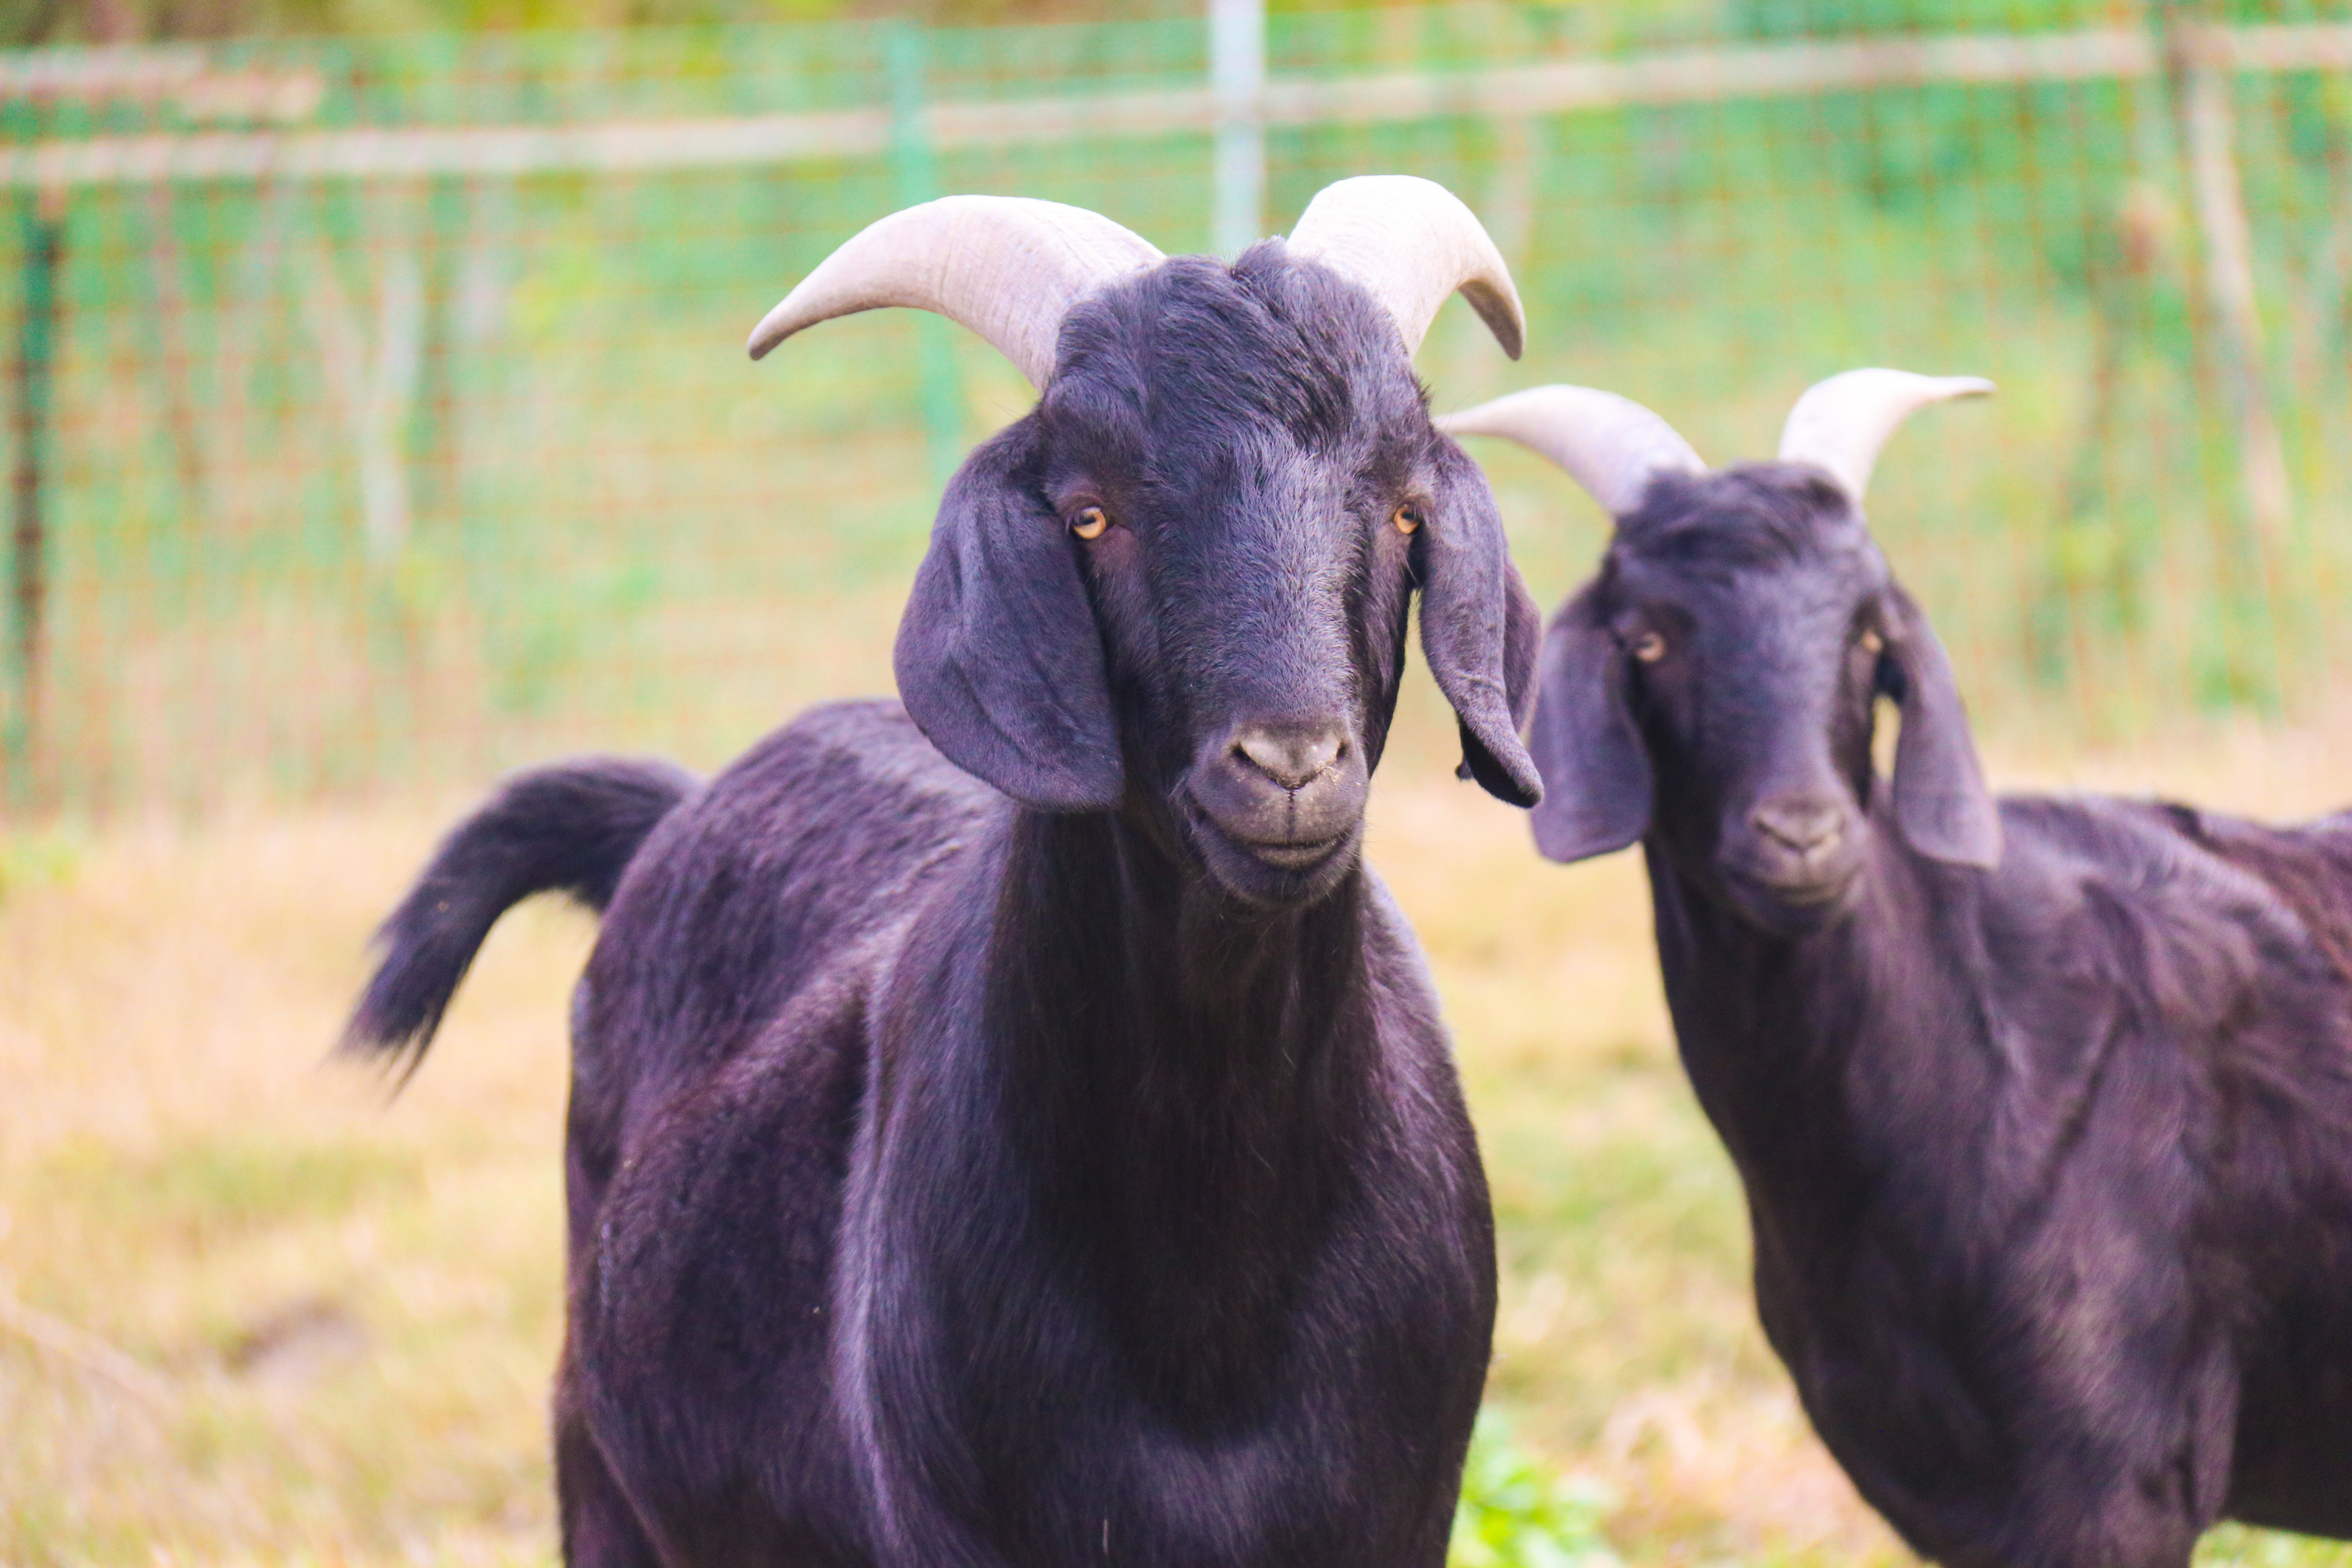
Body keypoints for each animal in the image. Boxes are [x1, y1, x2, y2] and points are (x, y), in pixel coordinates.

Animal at [336, 184, 1543, 1568]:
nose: (1288, 763)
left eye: (1401, 508)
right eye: (1089, 511)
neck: (1212, 1306)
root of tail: (675, 809)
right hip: (597, 1469)